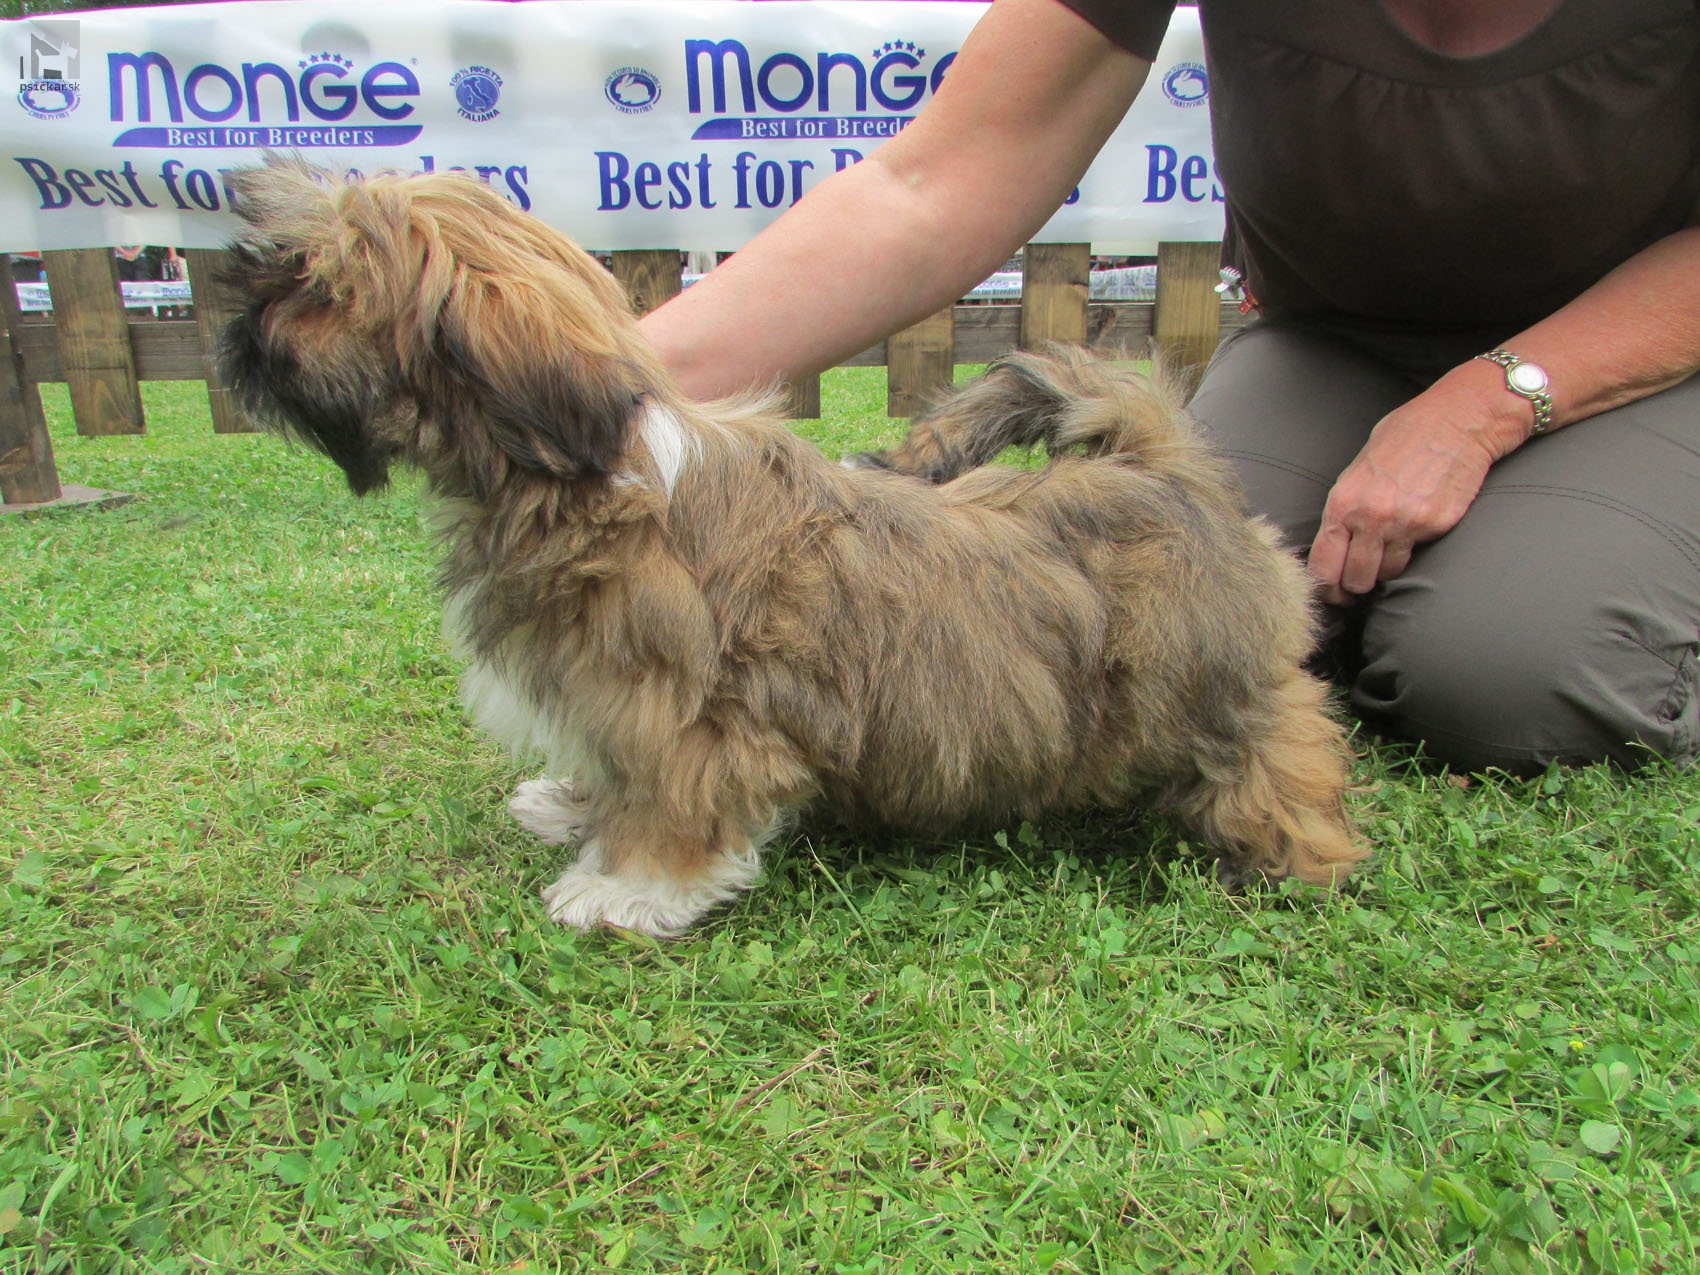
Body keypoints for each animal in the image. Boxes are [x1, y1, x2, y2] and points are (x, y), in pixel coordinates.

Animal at [222, 157, 1366, 938]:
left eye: (319, 285)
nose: (239, 317)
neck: (578, 476)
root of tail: (1161, 458)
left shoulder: (685, 717)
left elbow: (674, 802)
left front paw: (623, 886)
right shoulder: (612, 705)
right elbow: (613, 767)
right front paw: (577, 809)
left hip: (1211, 683)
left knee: (1283, 741)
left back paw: (1295, 850)